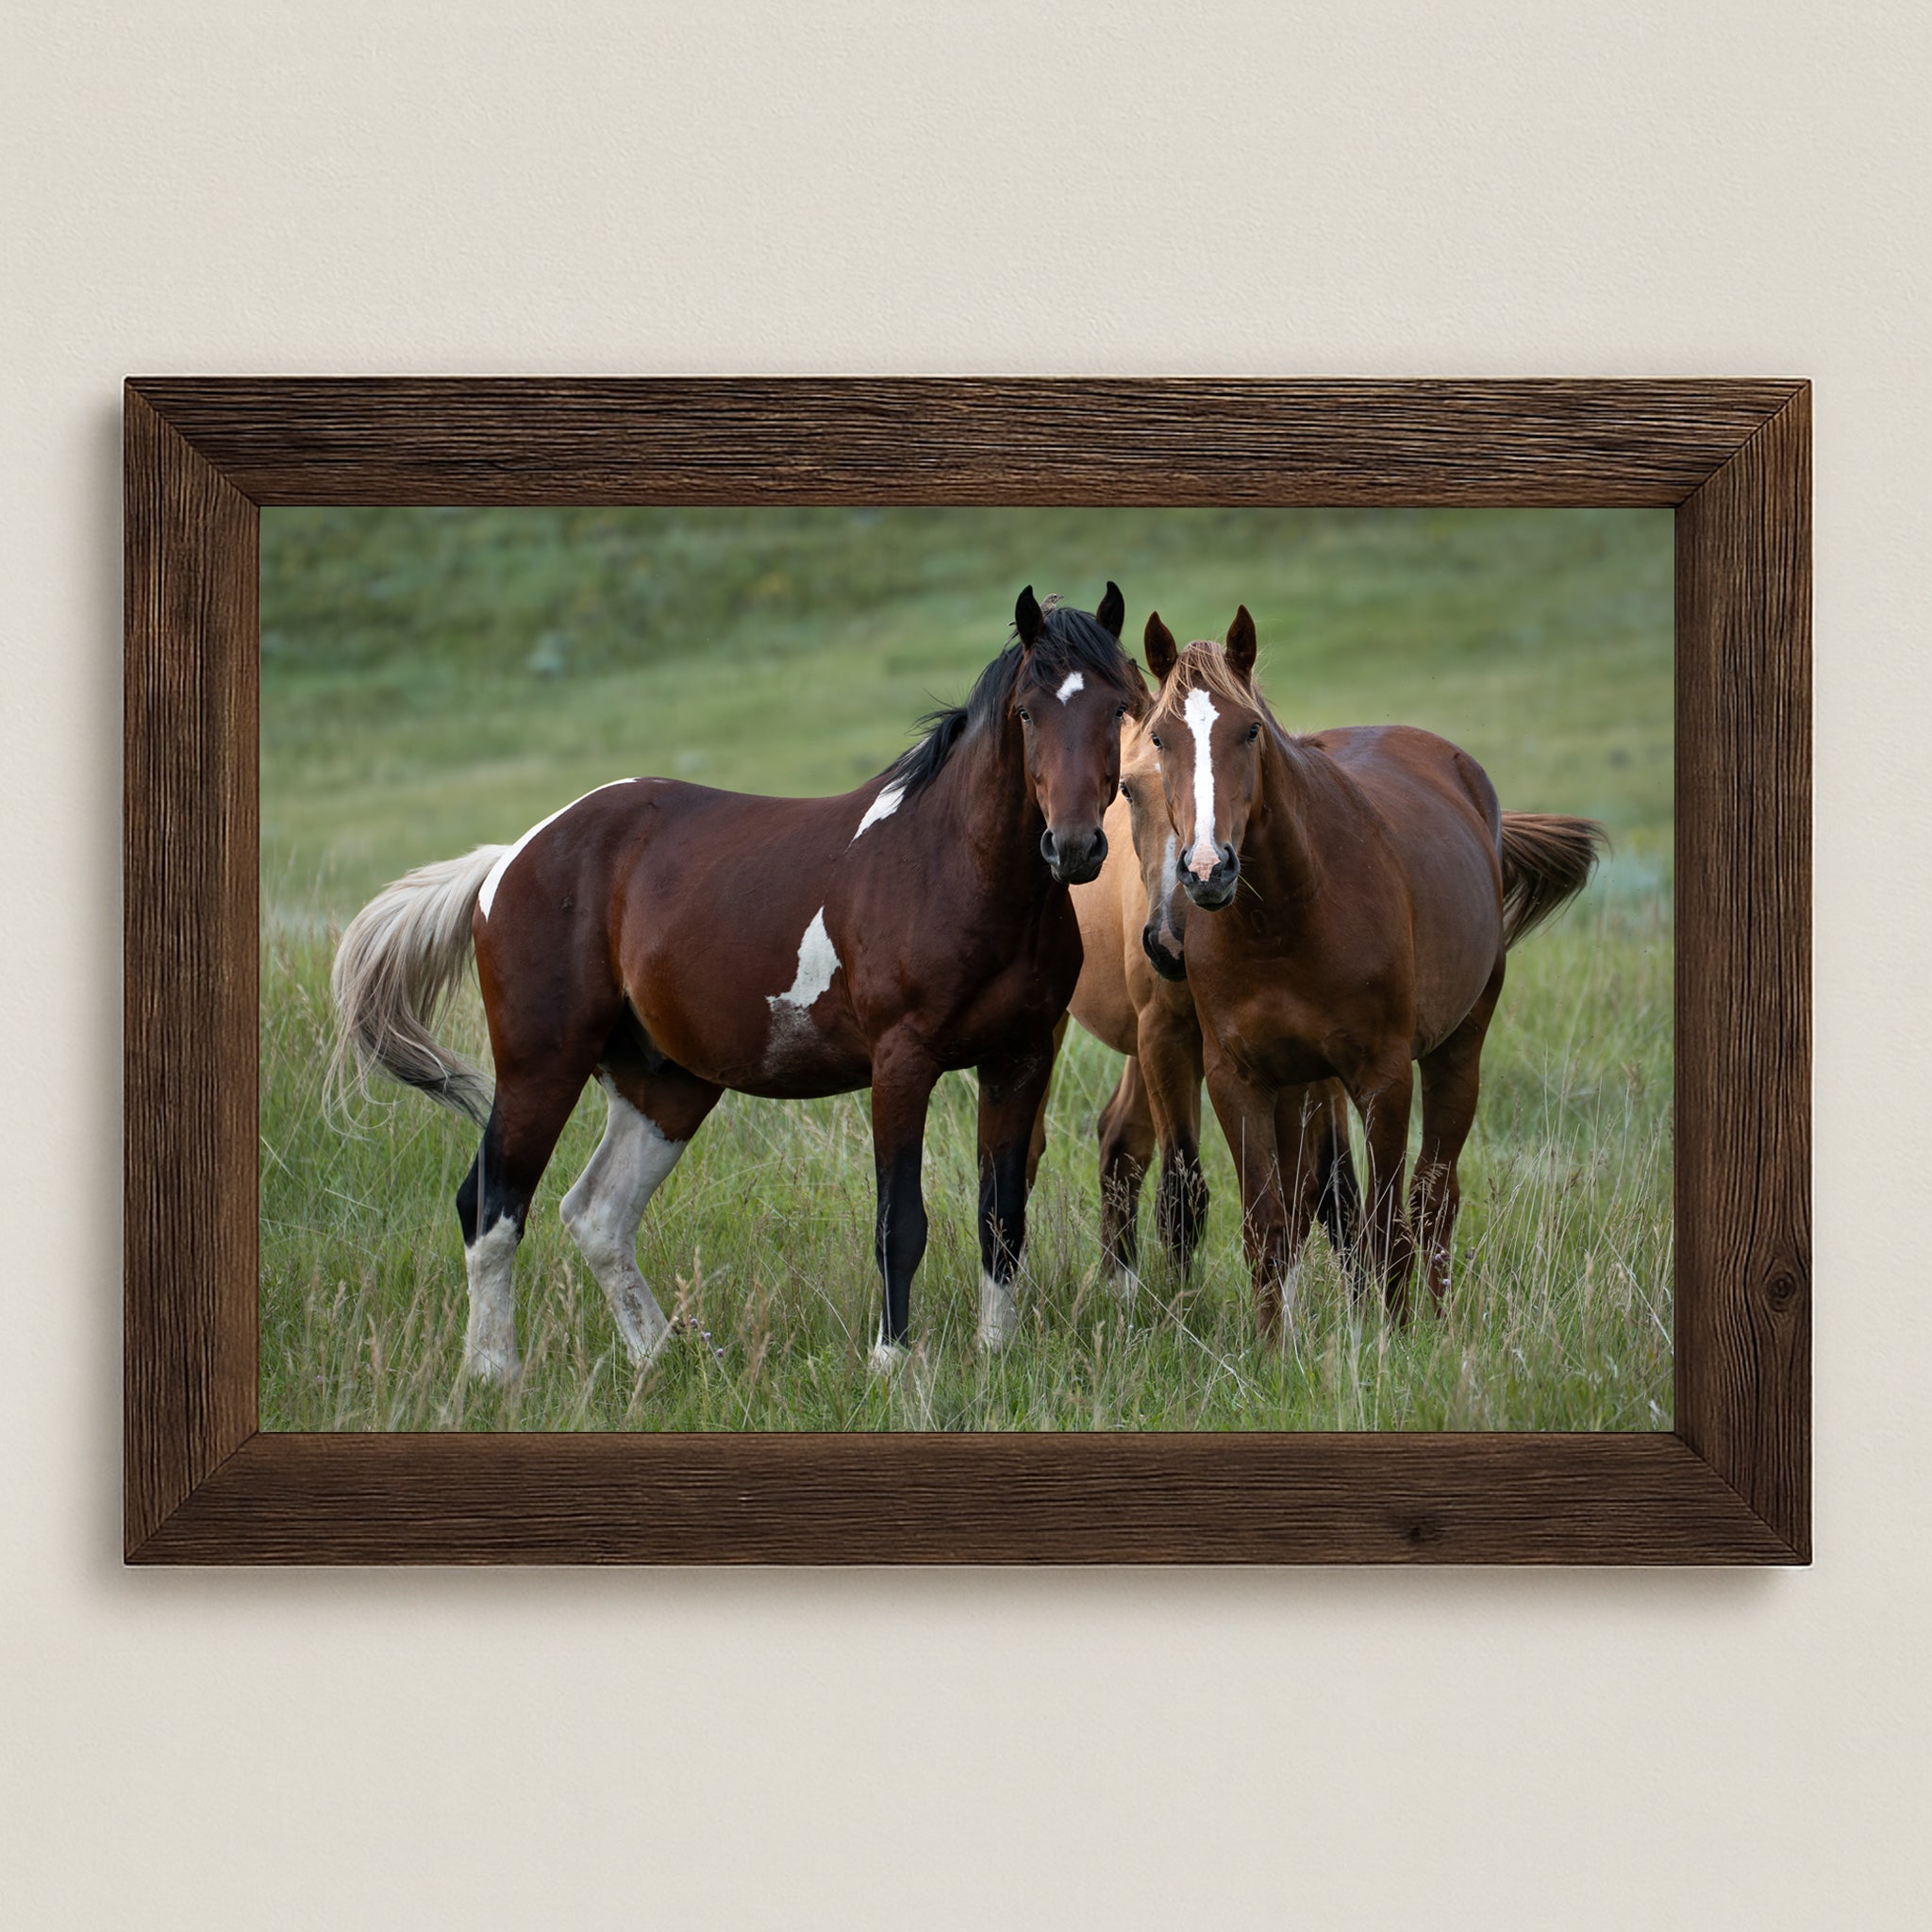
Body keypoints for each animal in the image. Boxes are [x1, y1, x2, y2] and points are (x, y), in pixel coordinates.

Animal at [329, 584, 1147, 1383]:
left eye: (1118, 708)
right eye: (1027, 712)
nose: (1074, 846)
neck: (949, 869)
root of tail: (509, 859)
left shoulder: (1020, 1059)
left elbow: (1001, 1216)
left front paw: (996, 1351)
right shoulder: (902, 1064)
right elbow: (900, 1222)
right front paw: (890, 1362)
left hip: (666, 1086)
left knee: (597, 1215)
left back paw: (659, 1358)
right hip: (541, 1066)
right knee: (492, 1206)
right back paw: (494, 1373)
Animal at [1066, 712, 1358, 1299]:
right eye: (1127, 789)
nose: (1170, 944)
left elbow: (1333, 1189)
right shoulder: (1167, 1036)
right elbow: (1183, 1194)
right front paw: (1182, 1312)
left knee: (1119, 1139)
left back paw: (1117, 1286)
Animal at [1137, 607, 1607, 1332]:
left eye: (1250, 730)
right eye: (1160, 737)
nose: (1208, 869)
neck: (1285, 920)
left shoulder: (1383, 1077)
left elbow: (1387, 1227)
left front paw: (1396, 1342)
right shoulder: (1237, 1079)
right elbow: (1267, 1229)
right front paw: (1272, 1348)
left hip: (1456, 1050)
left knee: (1434, 1197)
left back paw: (1437, 1324)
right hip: (1303, 1086)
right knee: (1311, 1205)